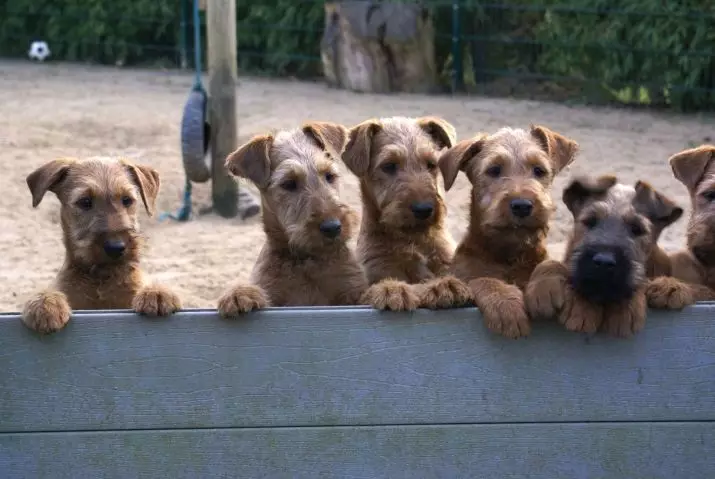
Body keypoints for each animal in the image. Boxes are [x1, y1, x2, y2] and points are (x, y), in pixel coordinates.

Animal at [23, 158, 183, 334]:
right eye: (85, 202)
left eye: (127, 200)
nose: (116, 247)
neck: (101, 279)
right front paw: (45, 304)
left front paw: (157, 293)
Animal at [217, 121, 370, 316]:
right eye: (288, 183)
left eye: (329, 175)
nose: (333, 227)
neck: (307, 262)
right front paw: (239, 296)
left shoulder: (353, 290)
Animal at [338, 116, 472, 312]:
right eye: (389, 166)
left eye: (431, 164)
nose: (424, 209)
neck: (413, 241)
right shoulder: (377, 269)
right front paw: (392, 291)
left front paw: (445, 286)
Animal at [436, 125, 580, 340]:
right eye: (494, 170)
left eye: (539, 170)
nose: (522, 206)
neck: (509, 256)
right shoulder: (464, 278)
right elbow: (484, 279)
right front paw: (505, 304)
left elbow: (551, 263)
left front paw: (545, 286)